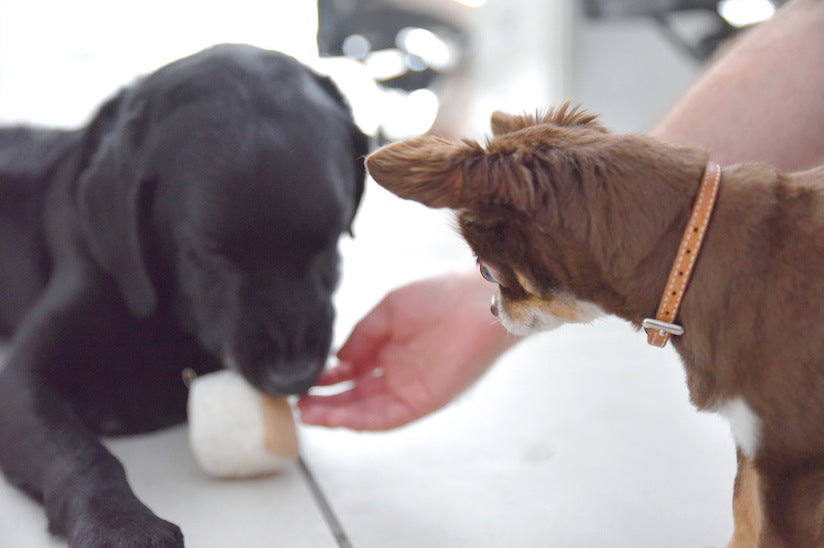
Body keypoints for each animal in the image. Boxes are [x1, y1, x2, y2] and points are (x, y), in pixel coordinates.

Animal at [0, 45, 366, 544]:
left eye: (328, 238)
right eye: (209, 251)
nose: (291, 376)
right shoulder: (21, 380)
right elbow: (81, 453)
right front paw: (123, 525)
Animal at [366, 104, 824, 548]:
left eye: (486, 272)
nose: (492, 310)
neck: (690, 255)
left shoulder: (787, 473)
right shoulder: (756, 457)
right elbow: (743, 522)